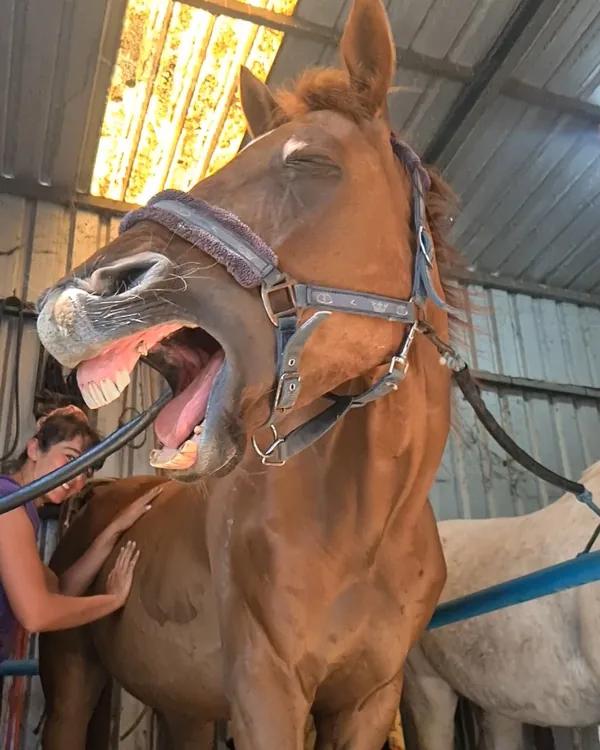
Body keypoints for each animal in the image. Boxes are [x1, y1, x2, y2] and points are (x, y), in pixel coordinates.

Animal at [35, 0, 466, 747]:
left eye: (313, 161)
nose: (74, 301)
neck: (368, 526)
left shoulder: (370, 698)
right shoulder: (266, 692)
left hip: (182, 705)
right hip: (71, 683)